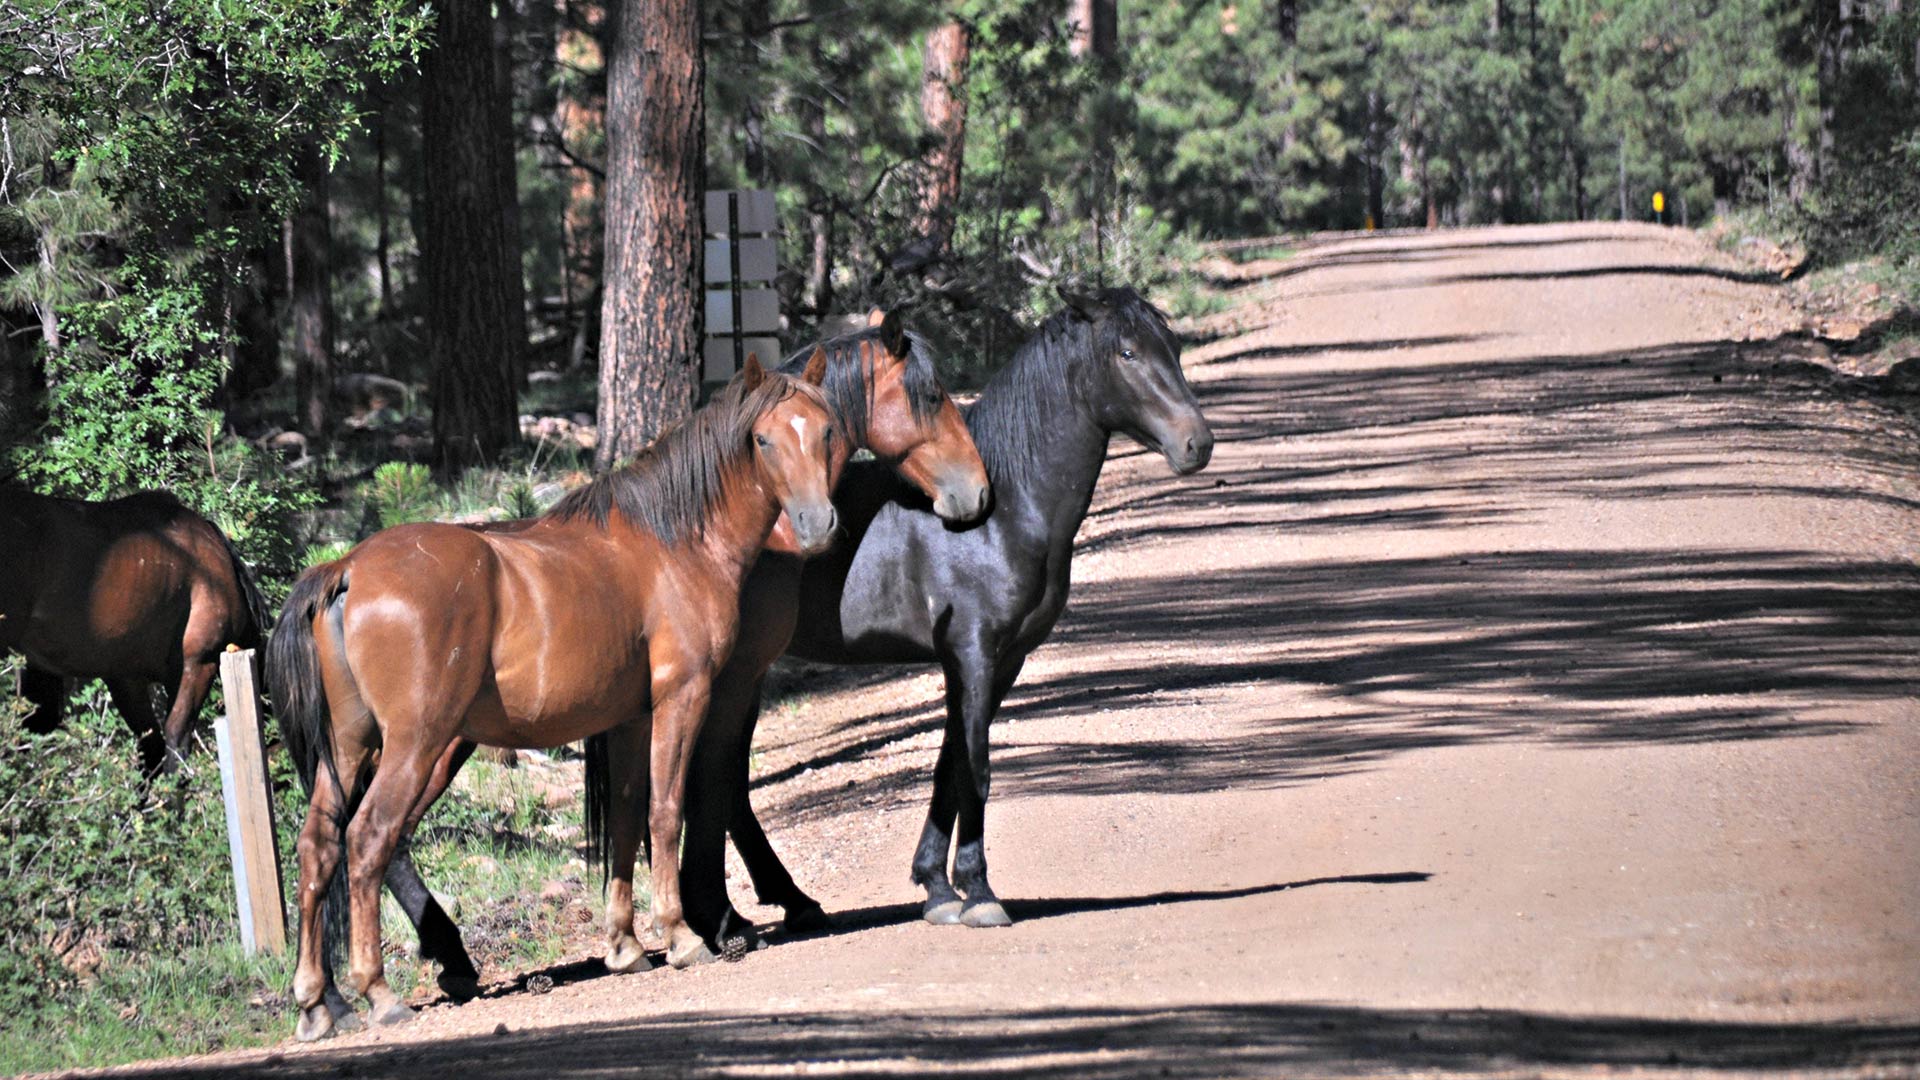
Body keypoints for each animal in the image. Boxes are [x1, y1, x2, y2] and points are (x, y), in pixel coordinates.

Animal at [266, 353, 844, 1037]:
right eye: (763, 439)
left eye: (827, 430)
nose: (816, 525)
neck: (673, 541)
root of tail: (347, 569)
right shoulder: (684, 697)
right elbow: (666, 811)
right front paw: (681, 936)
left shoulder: (629, 720)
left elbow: (625, 819)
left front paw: (624, 946)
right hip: (416, 746)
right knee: (370, 840)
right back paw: (378, 992)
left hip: (352, 750)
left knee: (318, 848)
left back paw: (315, 1002)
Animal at [618, 282, 1213, 937]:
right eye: (1127, 353)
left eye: (1172, 347)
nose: (1197, 444)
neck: (1006, 511)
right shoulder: (973, 653)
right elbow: (976, 768)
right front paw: (979, 892)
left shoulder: (999, 661)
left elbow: (951, 765)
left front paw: (936, 887)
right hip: (728, 677)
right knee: (711, 780)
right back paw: (725, 919)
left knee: (725, 787)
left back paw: (781, 903)